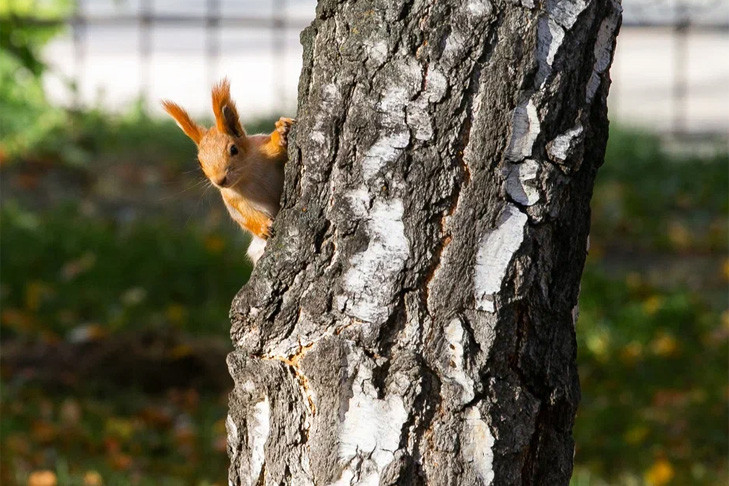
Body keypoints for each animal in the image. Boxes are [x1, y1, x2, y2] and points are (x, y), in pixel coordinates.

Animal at [162, 78, 292, 264]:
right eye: (200, 162)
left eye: (233, 149)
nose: (219, 180)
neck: (247, 176)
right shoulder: (232, 198)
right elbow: (243, 216)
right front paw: (263, 227)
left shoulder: (264, 150)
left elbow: (276, 147)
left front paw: (281, 131)